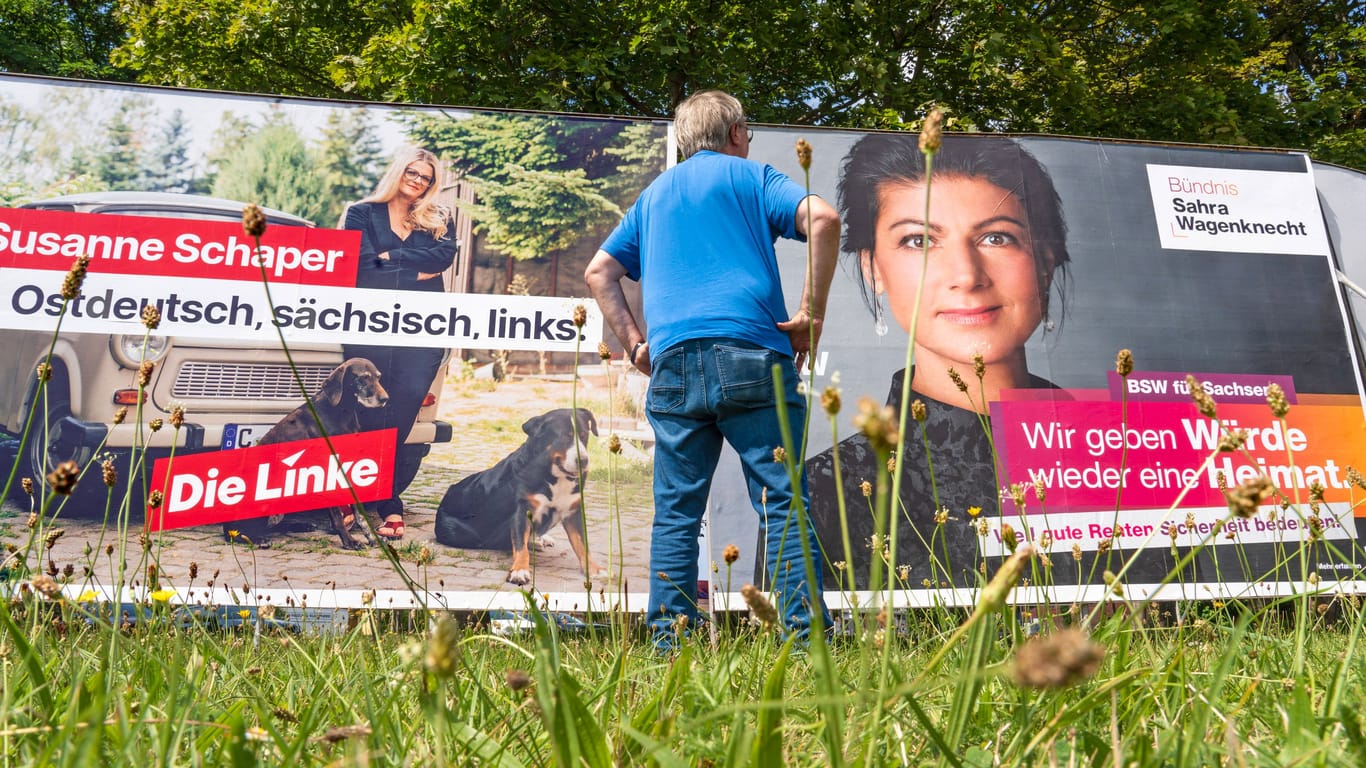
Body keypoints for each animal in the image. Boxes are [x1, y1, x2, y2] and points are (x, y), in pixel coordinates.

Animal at [221, 355, 387, 546]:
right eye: (363, 377)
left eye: (378, 377)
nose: (385, 399)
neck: (341, 413)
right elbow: (337, 514)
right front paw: (349, 541)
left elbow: (358, 512)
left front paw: (371, 536)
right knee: (234, 532)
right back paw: (257, 538)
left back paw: (299, 526)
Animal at [434, 409, 606, 582]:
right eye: (564, 437)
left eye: (584, 435)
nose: (584, 461)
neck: (553, 477)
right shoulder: (522, 510)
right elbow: (520, 545)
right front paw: (520, 570)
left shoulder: (573, 512)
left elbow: (582, 544)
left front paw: (594, 568)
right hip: (456, 532)